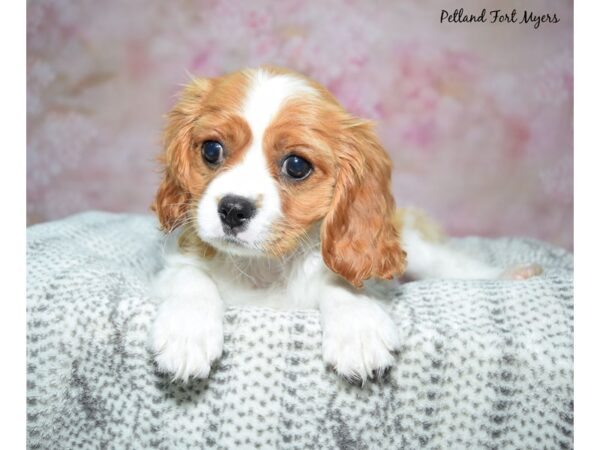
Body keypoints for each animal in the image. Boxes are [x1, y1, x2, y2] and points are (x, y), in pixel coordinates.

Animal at [150, 66, 544, 384]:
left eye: (296, 166)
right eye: (211, 150)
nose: (233, 209)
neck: (265, 267)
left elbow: (340, 280)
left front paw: (358, 329)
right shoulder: (175, 261)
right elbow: (190, 277)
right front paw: (187, 333)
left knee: (450, 264)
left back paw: (511, 275)